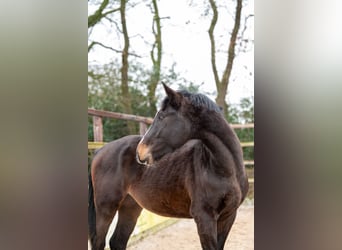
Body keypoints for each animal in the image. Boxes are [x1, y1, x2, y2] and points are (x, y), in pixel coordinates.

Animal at [89, 83, 248, 248]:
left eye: (161, 116)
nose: (140, 152)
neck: (225, 171)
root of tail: (100, 150)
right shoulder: (205, 218)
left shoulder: (228, 216)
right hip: (106, 207)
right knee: (99, 241)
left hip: (130, 207)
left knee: (117, 241)